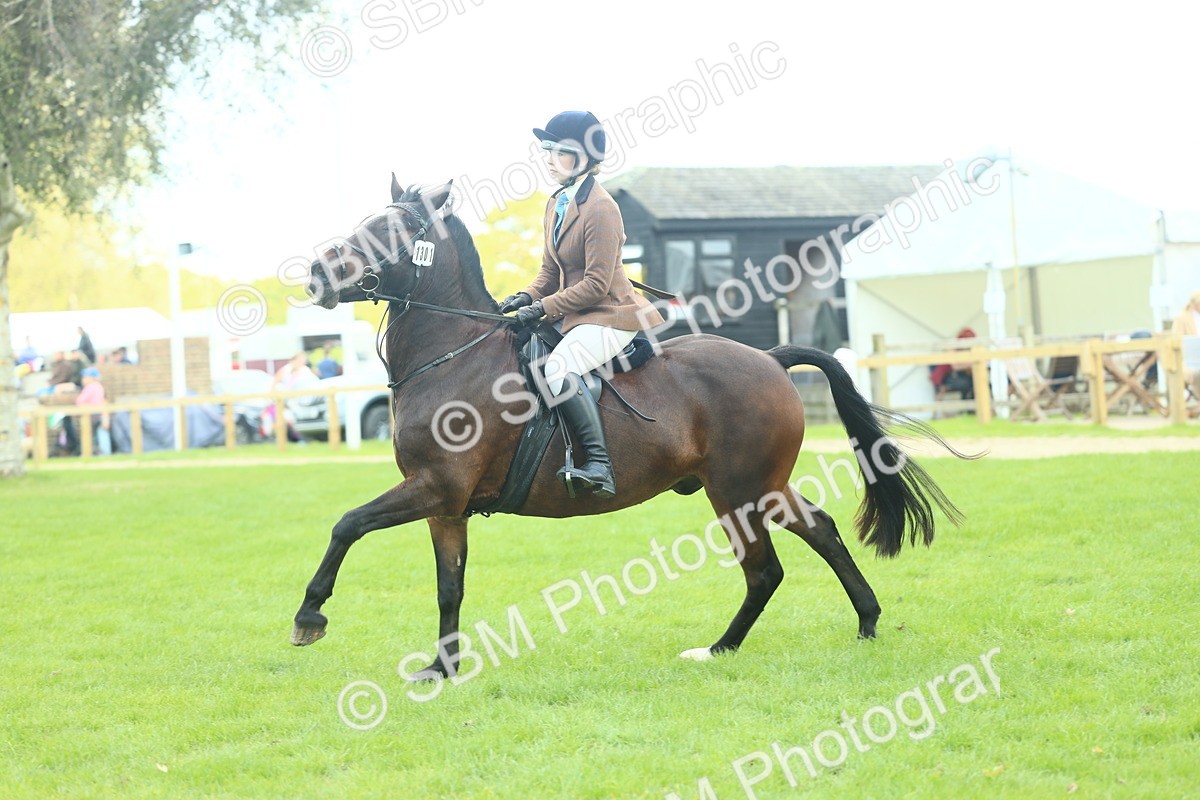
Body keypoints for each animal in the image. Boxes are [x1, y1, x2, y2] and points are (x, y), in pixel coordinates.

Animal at [292, 176, 971, 680]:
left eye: (389, 231)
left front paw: (309, 617)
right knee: (820, 531)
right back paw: (863, 622)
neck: (454, 353)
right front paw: (442, 668)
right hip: (763, 487)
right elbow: (448, 588)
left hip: (739, 491)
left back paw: (720, 649)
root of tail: (771, 359)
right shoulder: (446, 504)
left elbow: (345, 524)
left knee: (765, 570)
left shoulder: (435, 486)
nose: (317, 274)